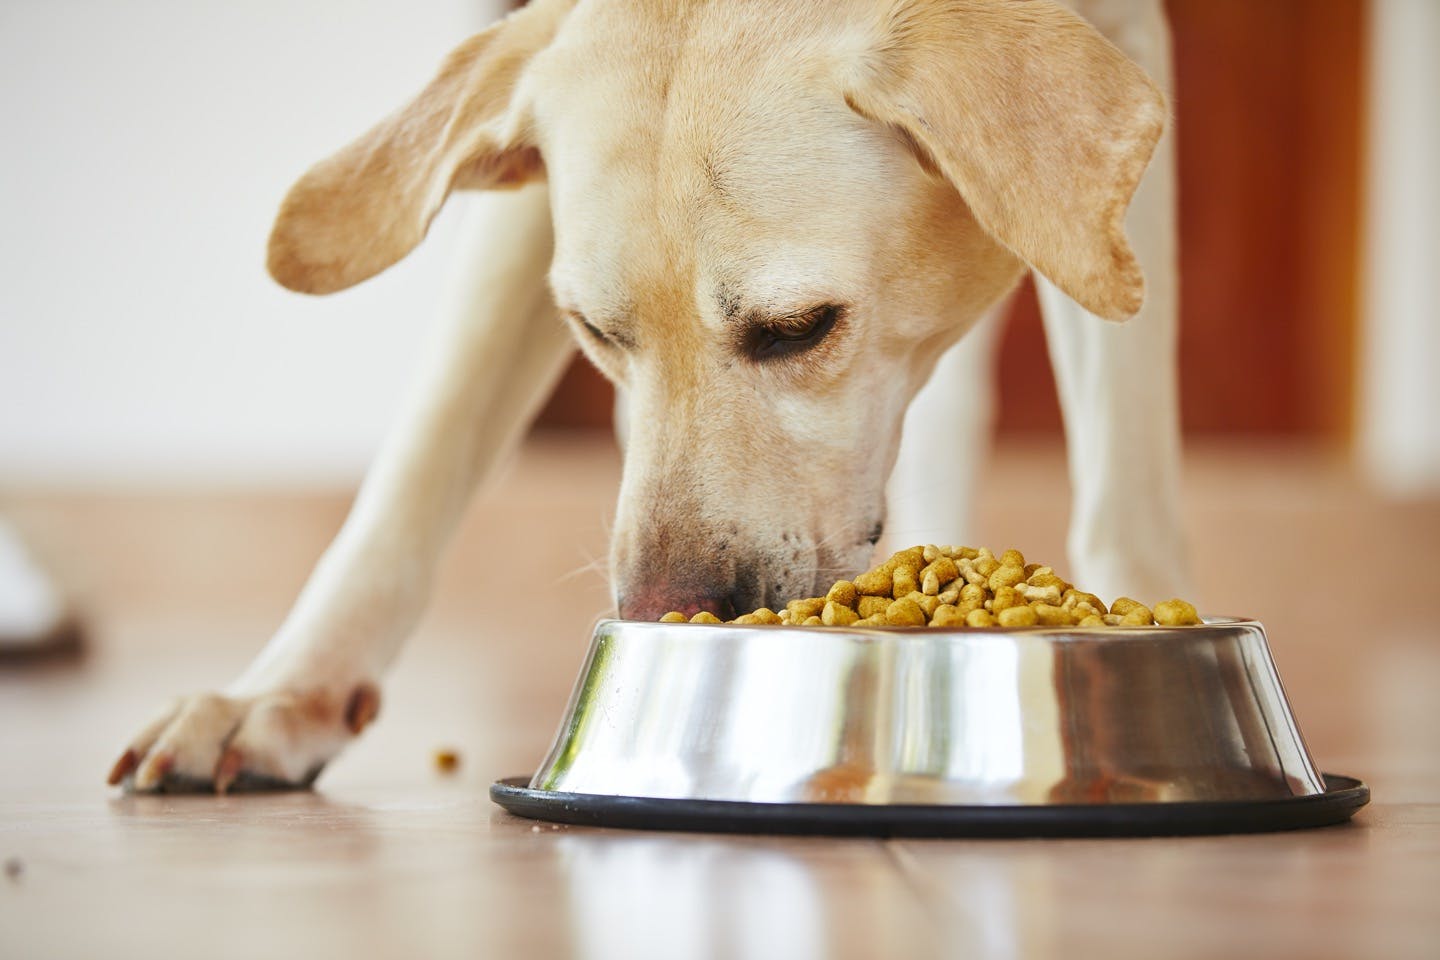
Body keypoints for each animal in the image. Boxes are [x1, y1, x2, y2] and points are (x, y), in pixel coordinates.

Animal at [106, 0, 1186, 794]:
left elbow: (1126, 466)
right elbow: (423, 457)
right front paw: (285, 692)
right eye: (594, 331)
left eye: (798, 328)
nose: (661, 612)